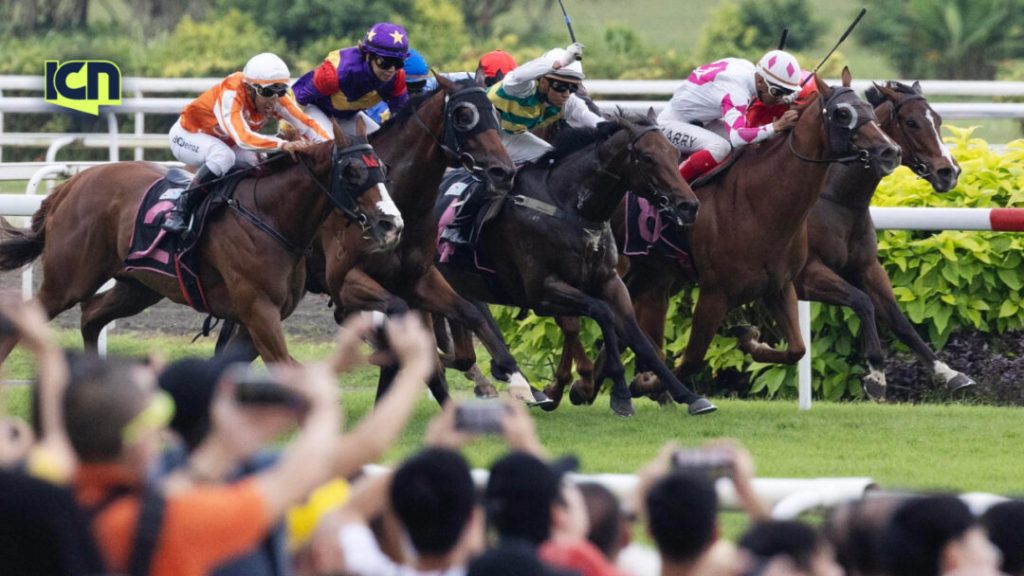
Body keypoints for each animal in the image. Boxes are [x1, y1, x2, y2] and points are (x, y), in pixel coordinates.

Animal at [0, 121, 399, 364]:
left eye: (382, 166)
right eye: (352, 171)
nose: (392, 222)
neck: (270, 216)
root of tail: (70, 185)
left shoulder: (255, 321)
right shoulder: (258, 310)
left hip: (138, 286)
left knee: (91, 316)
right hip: (68, 281)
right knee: (33, 318)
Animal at [435, 112, 708, 417]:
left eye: (674, 153)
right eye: (647, 158)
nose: (688, 206)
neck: (570, 207)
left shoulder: (610, 282)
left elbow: (637, 338)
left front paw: (688, 395)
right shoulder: (543, 291)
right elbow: (603, 313)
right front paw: (620, 395)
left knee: (466, 343)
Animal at [553, 69, 902, 405]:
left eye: (868, 108)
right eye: (842, 113)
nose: (890, 151)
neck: (760, 202)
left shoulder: (779, 286)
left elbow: (797, 349)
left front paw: (751, 339)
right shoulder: (715, 294)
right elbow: (692, 359)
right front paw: (649, 383)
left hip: (649, 272)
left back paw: (584, 387)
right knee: (577, 318)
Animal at [796, 80, 973, 400]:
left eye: (939, 120)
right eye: (912, 122)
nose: (949, 172)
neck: (839, 200)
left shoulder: (868, 268)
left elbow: (899, 320)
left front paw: (949, 372)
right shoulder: (807, 275)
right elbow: (862, 301)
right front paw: (876, 375)